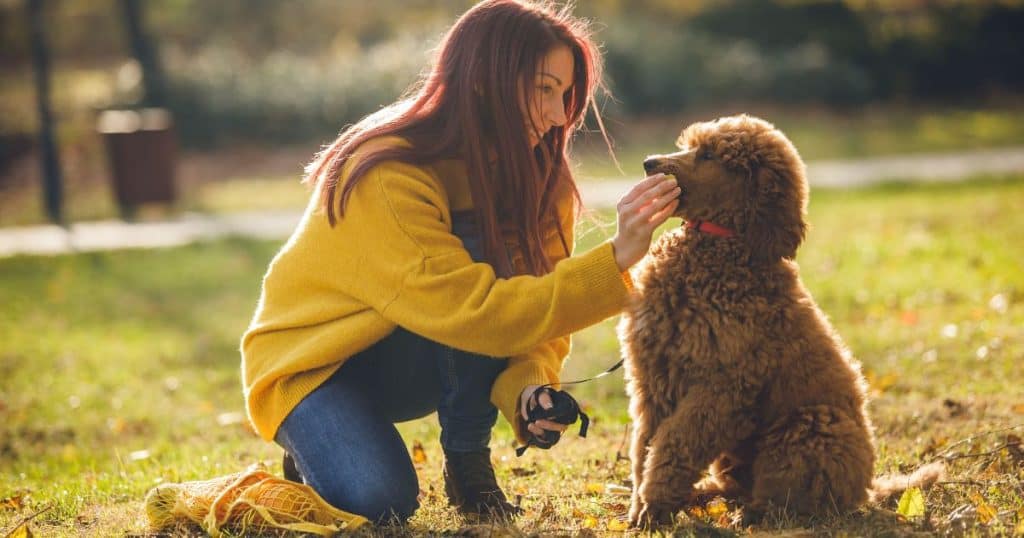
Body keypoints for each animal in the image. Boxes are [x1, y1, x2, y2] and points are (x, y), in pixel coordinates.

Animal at [614, 115, 942, 524]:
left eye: (708, 155)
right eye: (690, 146)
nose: (648, 163)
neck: (721, 246)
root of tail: (866, 488)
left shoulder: (722, 388)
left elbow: (674, 442)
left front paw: (654, 506)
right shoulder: (654, 376)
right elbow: (644, 446)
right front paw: (642, 507)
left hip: (806, 429)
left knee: (787, 498)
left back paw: (751, 514)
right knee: (735, 485)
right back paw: (704, 495)